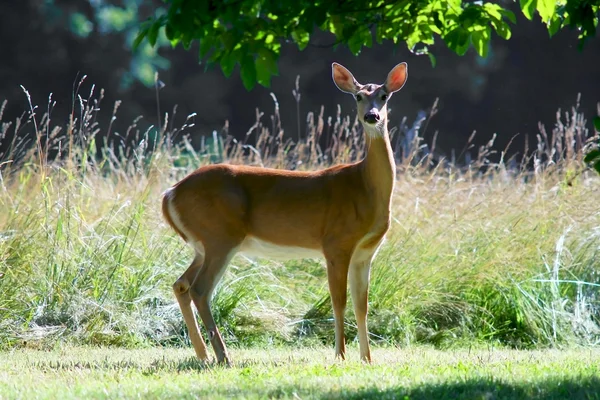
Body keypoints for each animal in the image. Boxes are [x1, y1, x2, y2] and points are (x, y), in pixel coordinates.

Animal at [161, 60, 408, 366]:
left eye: (384, 96)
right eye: (358, 96)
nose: (372, 116)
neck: (365, 187)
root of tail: (170, 193)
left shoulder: (365, 252)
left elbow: (362, 305)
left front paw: (367, 358)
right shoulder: (336, 243)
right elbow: (338, 301)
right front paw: (340, 355)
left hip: (202, 244)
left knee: (181, 284)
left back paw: (204, 355)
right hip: (220, 236)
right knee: (200, 289)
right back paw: (223, 356)